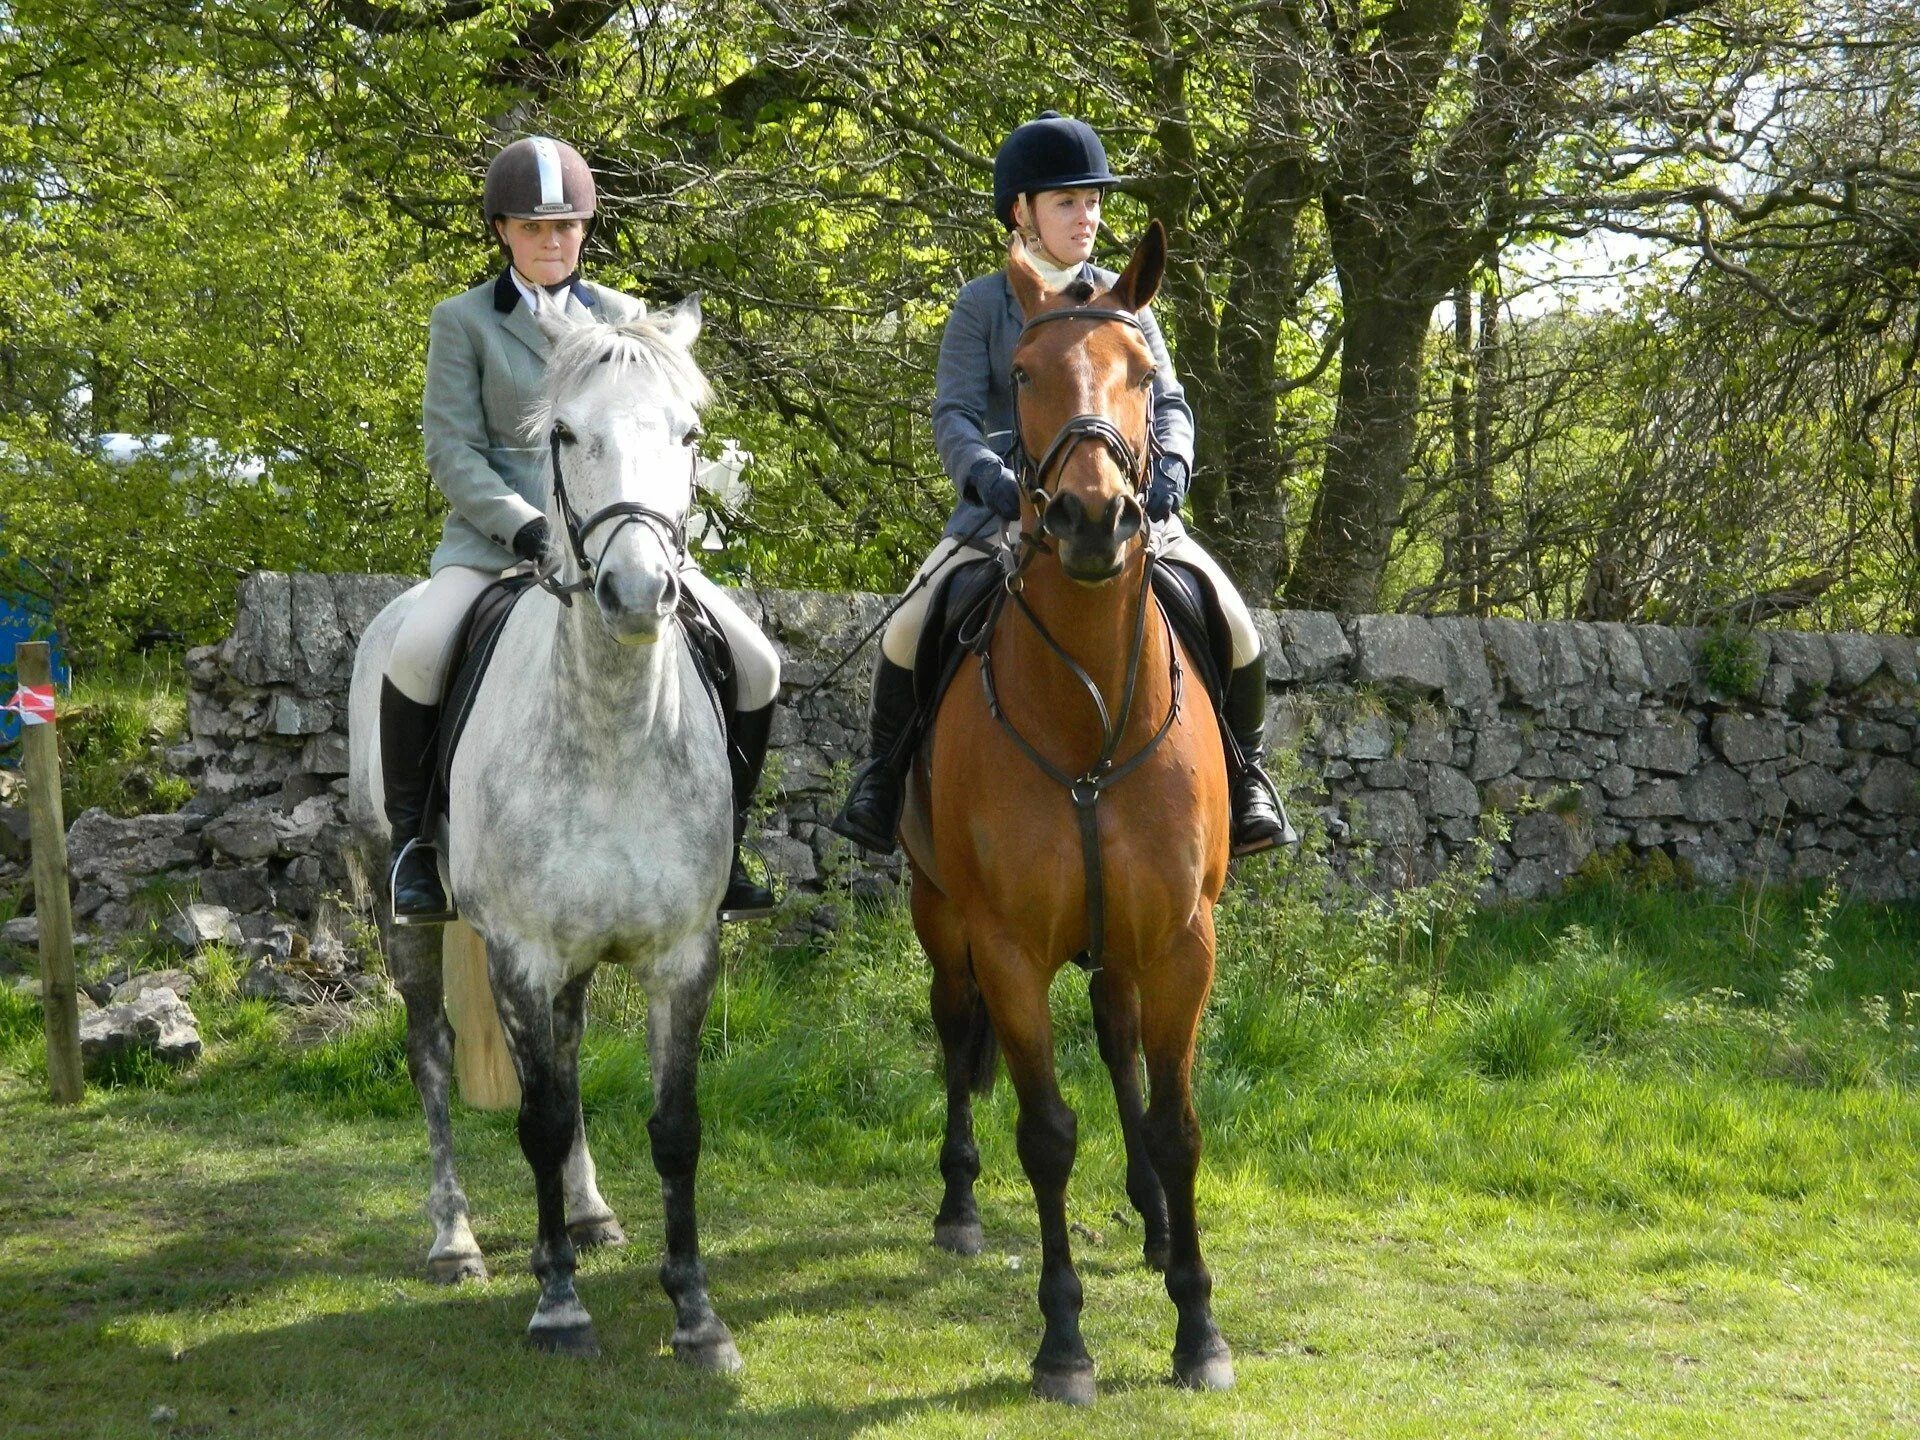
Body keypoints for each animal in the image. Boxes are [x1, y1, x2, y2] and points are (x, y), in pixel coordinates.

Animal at [345, 299, 741, 1367]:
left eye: (689, 436)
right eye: (564, 434)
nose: (639, 592)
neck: (615, 729)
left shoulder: (682, 953)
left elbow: (674, 1124)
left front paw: (695, 1313)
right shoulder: (520, 951)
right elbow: (539, 1116)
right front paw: (559, 1306)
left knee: (563, 1050)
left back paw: (591, 1212)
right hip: (405, 911)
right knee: (433, 1054)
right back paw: (456, 1242)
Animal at [894, 225, 1228, 1413]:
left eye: (1140, 371)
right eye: (1026, 374)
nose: (1094, 518)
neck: (1085, 708)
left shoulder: (1181, 939)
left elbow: (1176, 1123)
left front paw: (1198, 1326)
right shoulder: (1006, 946)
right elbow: (1044, 1132)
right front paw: (1064, 1343)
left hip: (1123, 939)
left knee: (1123, 1041)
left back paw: (1153, 1222)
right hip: (941, 920)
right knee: (954, 1034)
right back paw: (954, 1208)